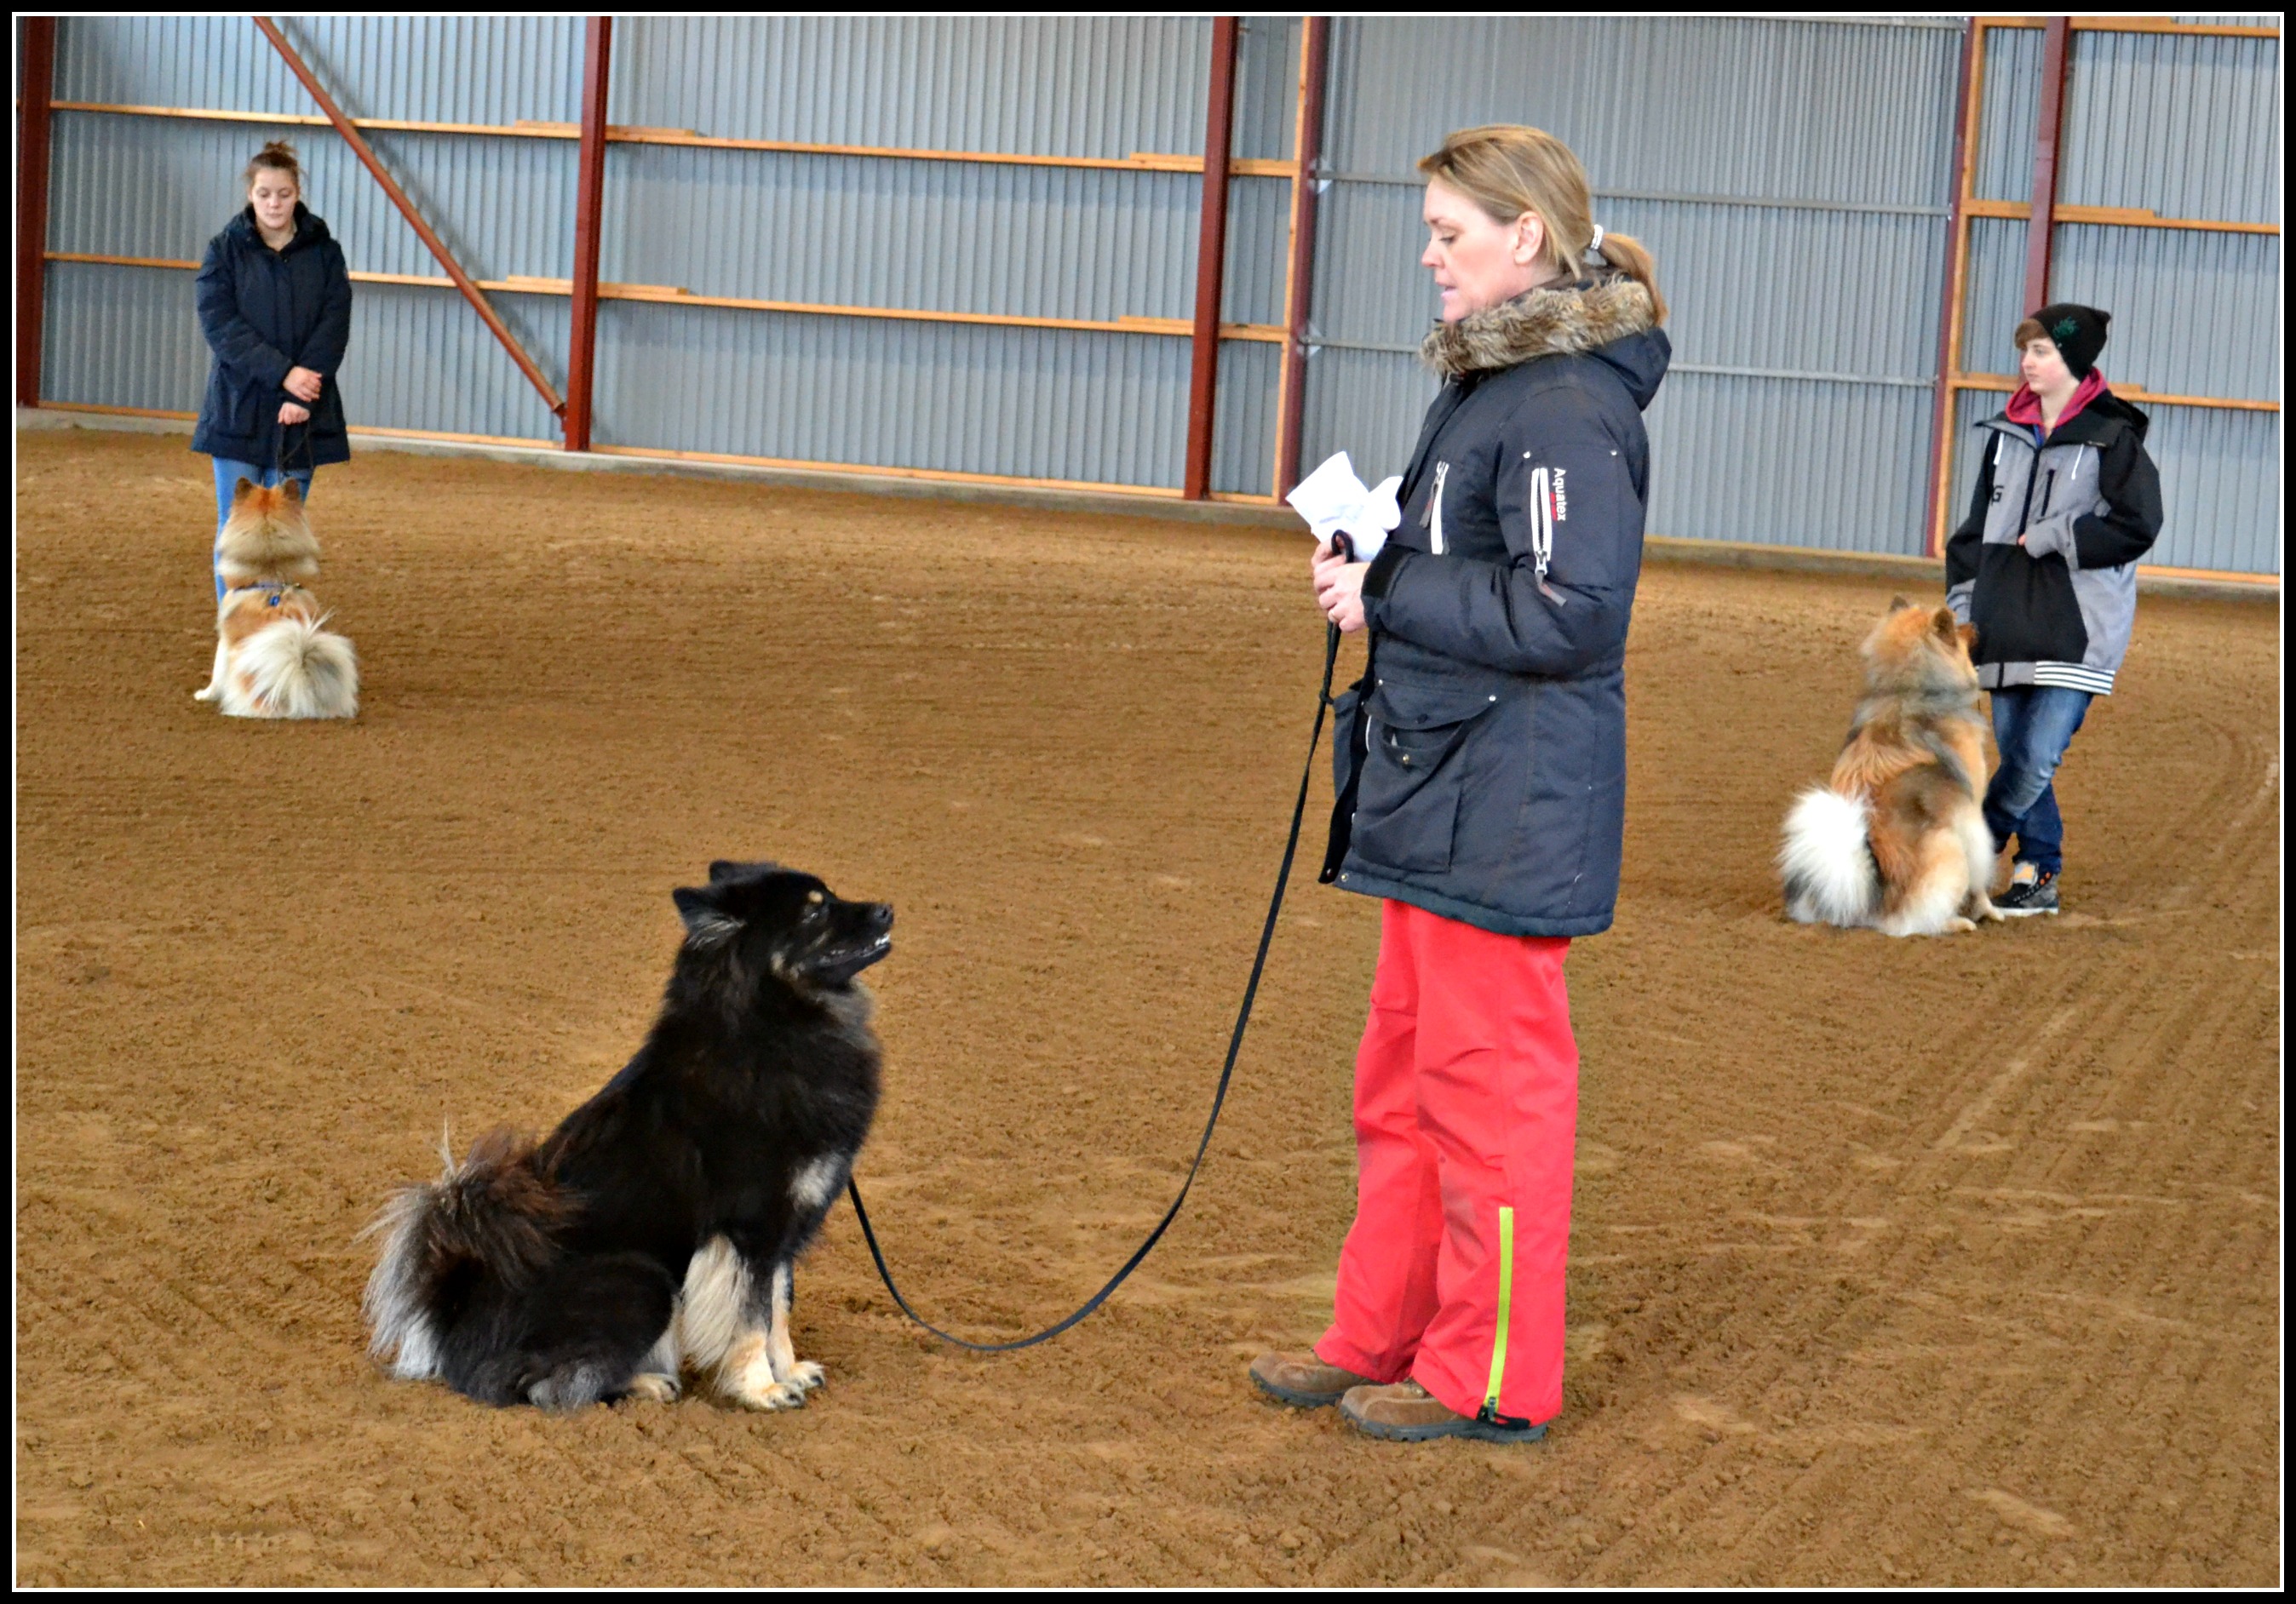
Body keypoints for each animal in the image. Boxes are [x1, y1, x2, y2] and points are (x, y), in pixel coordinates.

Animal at [362, 861, 893, 1411]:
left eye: (831, 895)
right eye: (814, 912)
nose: (886, 909)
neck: (773, 1028)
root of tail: (453, 1325)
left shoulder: (782, 1234)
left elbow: (779, 1311)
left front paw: (788, 1372)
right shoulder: (748, 1229)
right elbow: (752, 1322)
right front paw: (760, 1389)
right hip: (643, 1280)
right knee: (542, 1384)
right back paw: (647, 1383)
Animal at [1778, 598, 2003, 937]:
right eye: (1954, 626)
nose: (1973, 624)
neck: (1906, 693)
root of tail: (1869, 900)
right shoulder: (1970, 816)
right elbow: (1981, 876)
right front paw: (1989, 911)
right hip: (1948, 848)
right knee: (1913, 923)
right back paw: (1956, 923)